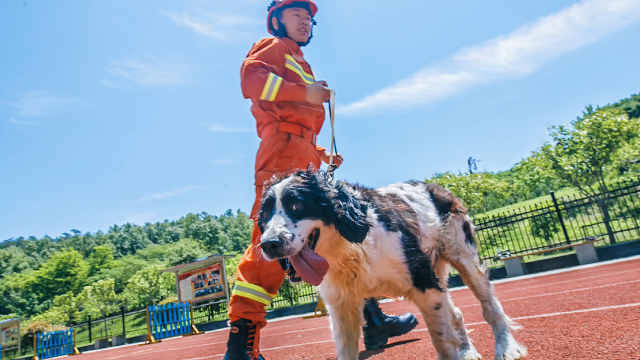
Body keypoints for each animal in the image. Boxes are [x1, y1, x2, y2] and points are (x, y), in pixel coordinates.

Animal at [258, 169, 528, 360]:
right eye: (265, 215)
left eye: (297, 205)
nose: (268, 244)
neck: (348, 246)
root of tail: (434, 186)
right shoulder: (342, 306)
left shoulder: (425, 285)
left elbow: (441, 341)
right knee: (457, 315)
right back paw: (467, 351)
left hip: (465, 259)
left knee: (490, 307)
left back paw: (507, 348)